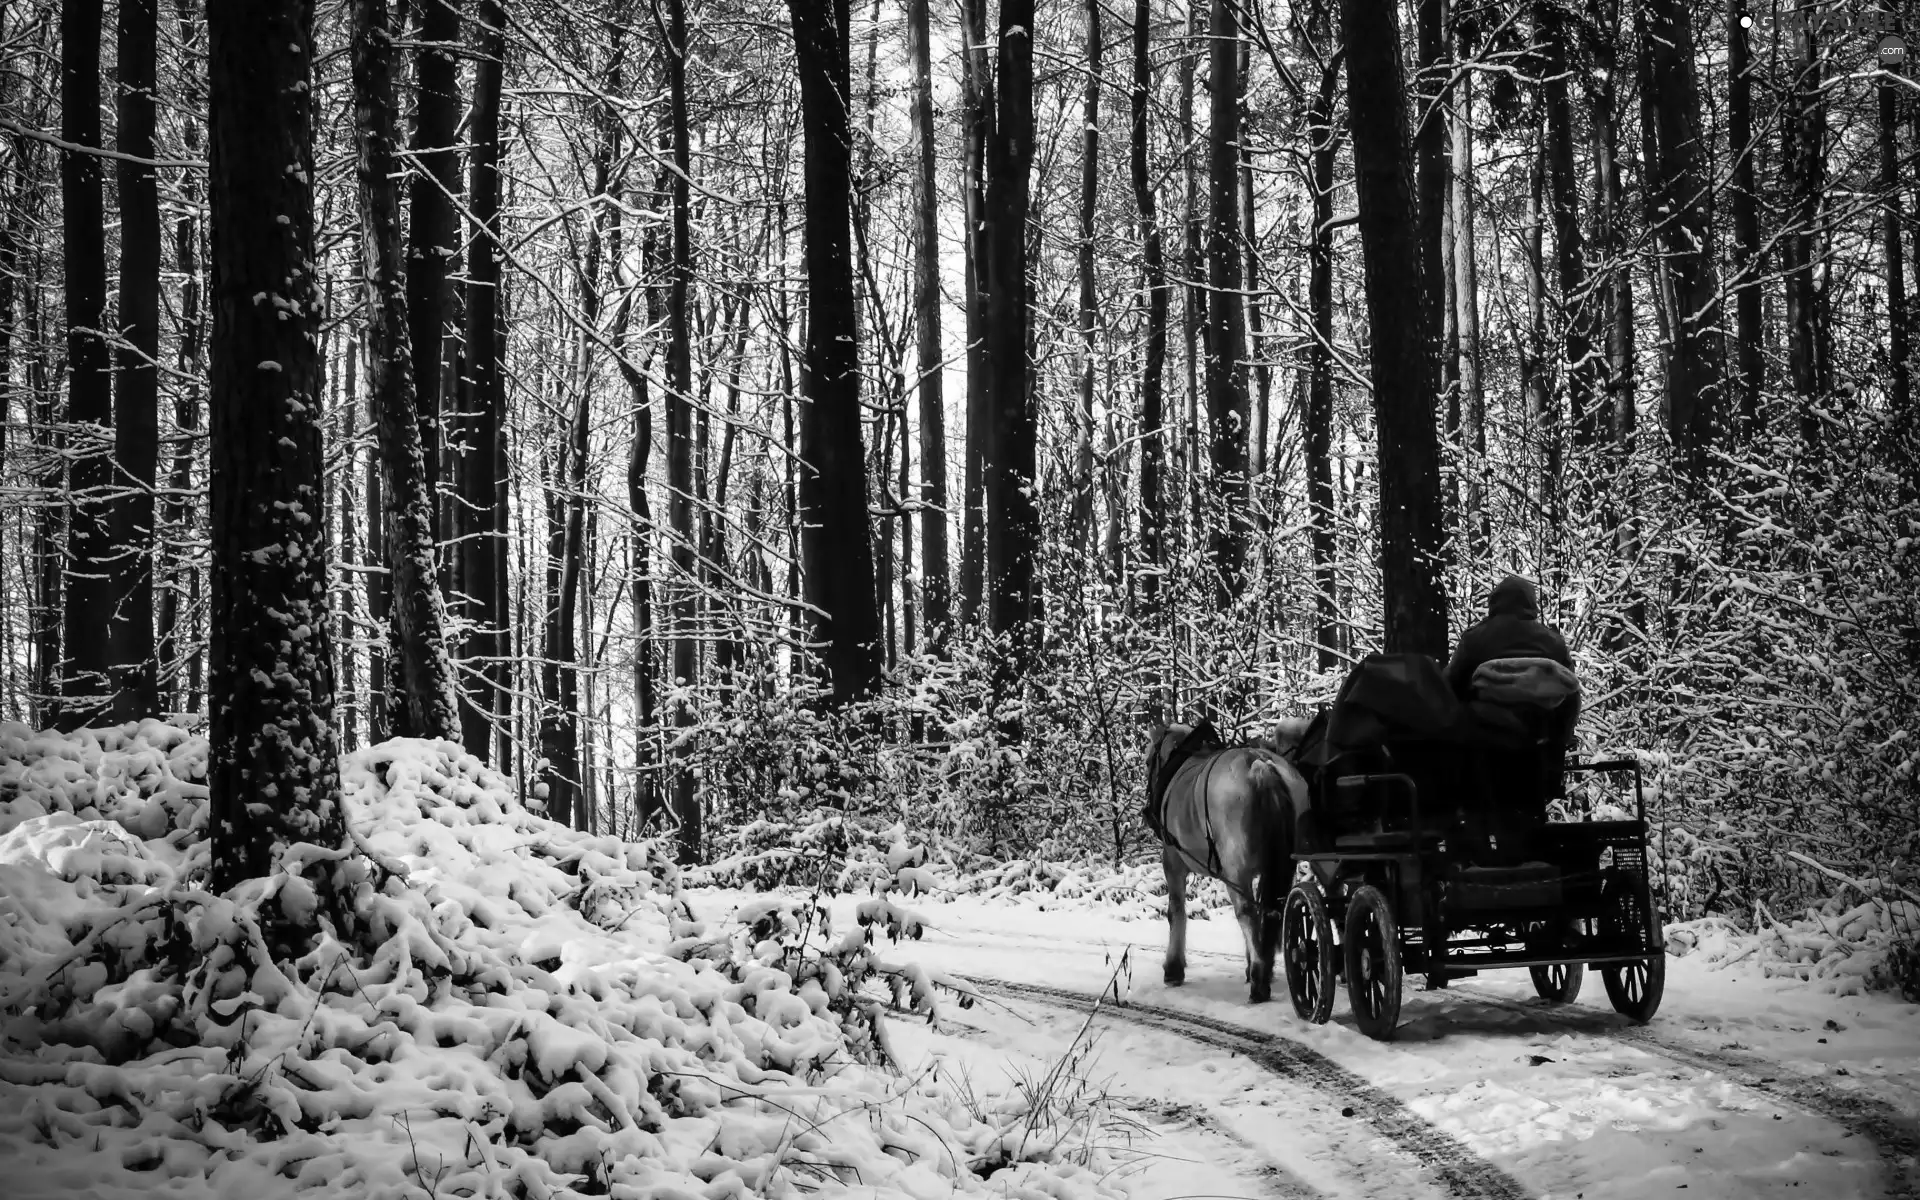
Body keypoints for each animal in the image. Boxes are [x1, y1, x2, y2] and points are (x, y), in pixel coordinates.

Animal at [1144, 721, 1313, 998]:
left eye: (1149, 761)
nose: (1147, 811)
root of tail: (1259, 764)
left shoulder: (1173, 861)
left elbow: (1175, 911)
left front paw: (1173, 968)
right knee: (1269, 910)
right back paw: (1262, 967)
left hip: (1234, 869)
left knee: (1247, 912)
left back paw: (1259, 979)